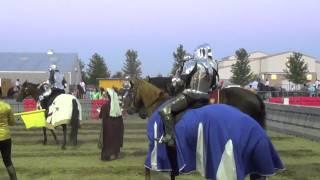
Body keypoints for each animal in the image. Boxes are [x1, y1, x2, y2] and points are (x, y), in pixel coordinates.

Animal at [123, 79, 270, 180]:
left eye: (130, 92)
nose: (127, 109)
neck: (158, 104)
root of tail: (256, 97)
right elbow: (172, 172)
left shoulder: (155, 145)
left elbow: (147, 167)